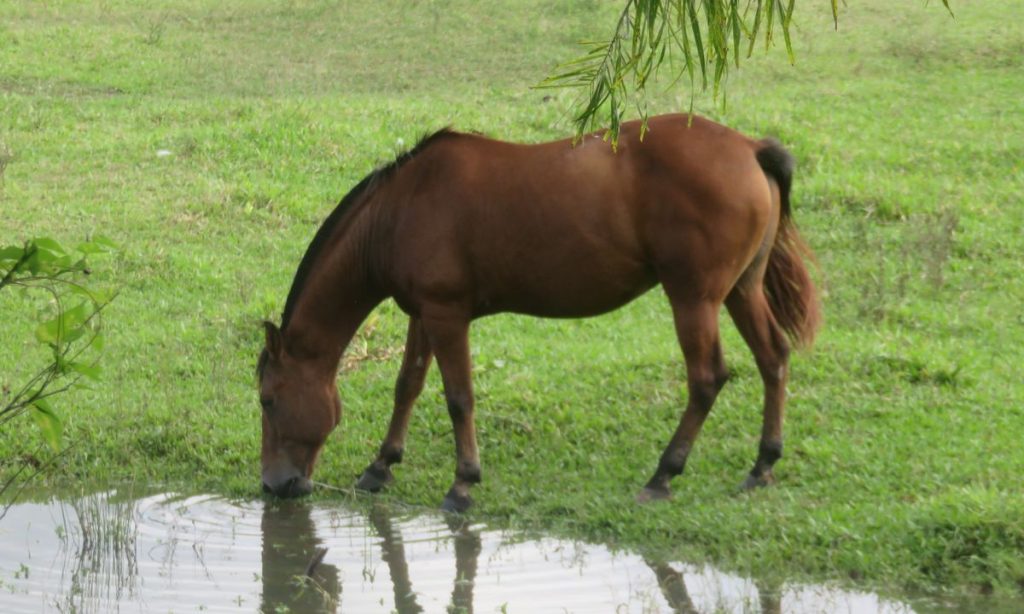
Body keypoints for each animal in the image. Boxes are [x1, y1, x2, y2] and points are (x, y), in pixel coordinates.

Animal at [256, 113, 820, 512]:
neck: (400, 209)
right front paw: (381, 466)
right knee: (773, 358)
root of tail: (749, 148)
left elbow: (458, 398)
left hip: (694, 299)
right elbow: (408, 386)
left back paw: (664, 474)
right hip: (742, 290)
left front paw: (462, 484)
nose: (274, 485)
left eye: (267, 399)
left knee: (707, 378)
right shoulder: (424, 314)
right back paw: (763, 464)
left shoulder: (447, 316)